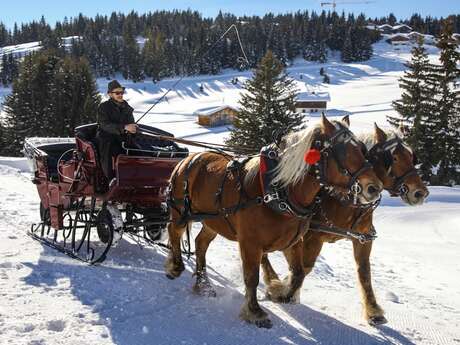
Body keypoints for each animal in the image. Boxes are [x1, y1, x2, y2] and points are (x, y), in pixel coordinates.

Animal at [164, 114, 382, 326]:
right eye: (342, 151)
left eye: (362, 149)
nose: (374, 188)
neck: (278, 192)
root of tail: (188, 159)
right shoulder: (250, 243)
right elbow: (251, 277)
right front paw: (255, 312)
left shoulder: (293, 241)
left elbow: (298, 273)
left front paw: (279, 293)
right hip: (180, 213)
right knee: (173, 231)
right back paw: (175, 267)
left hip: (214, 222)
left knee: (200, 243)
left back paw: (203, 285)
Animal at [260, 120, 430, 326]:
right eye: (394, 158)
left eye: (411, 156)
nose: (420, 192)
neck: (345, 200)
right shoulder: (311, 238)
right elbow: (304, 267)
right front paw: (282, 290)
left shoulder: (362, 239)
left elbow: (364, 273)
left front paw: (373, 311)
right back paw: (271, 279)